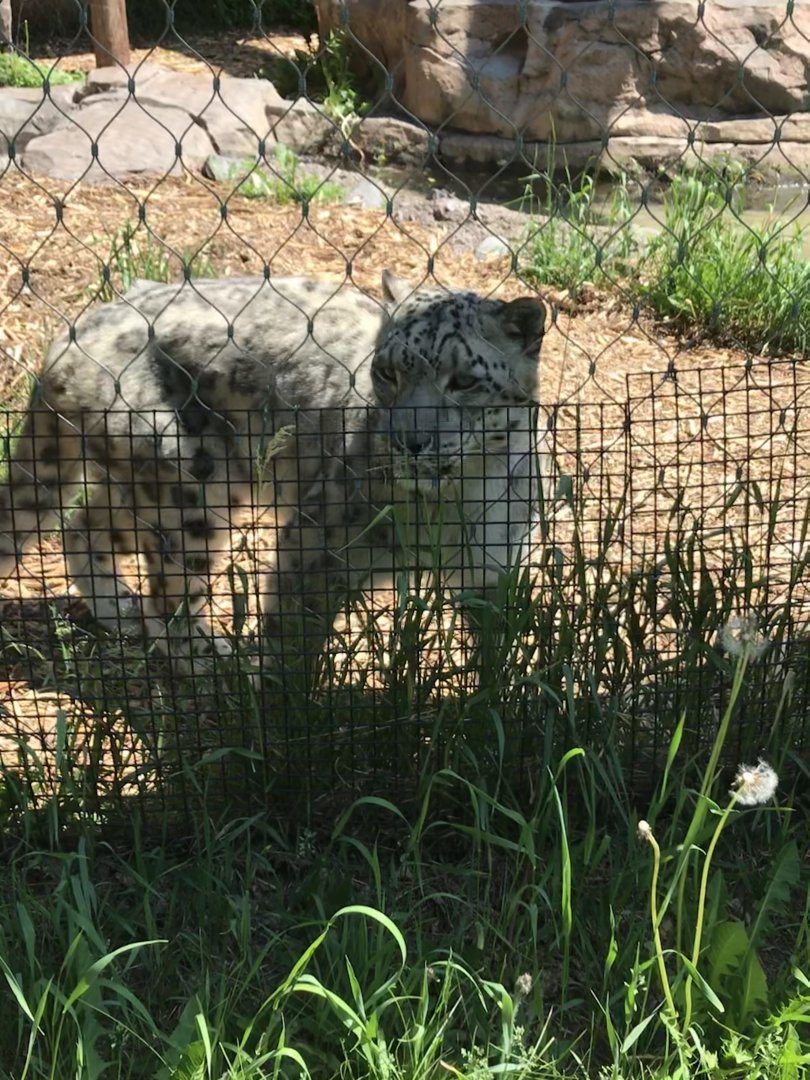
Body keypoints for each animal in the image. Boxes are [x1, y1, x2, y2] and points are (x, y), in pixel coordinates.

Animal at [0, 271, 546, 681]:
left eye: (465, 381)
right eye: (388, 372)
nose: (409, 441)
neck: (459, 499)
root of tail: (73, 334)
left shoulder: (491, 568)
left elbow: (496, 647)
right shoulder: (314, 551)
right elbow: (292, 644)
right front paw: (292, 721)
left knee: (83, 525)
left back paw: (118, 608)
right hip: (190, 491)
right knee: (168, 591)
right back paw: (208, 659)